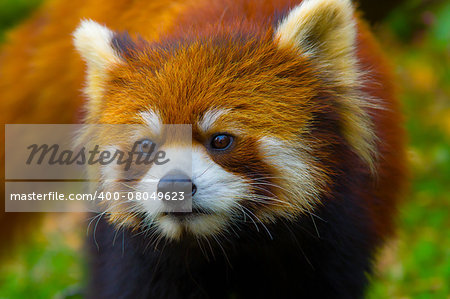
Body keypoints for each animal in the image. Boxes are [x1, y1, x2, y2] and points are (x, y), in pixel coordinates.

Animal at [0, 0, 408, 298]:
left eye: (221, 140)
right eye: (146, 145)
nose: (174, 187)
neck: (224, 247)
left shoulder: (334, 237)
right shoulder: (135, 257)